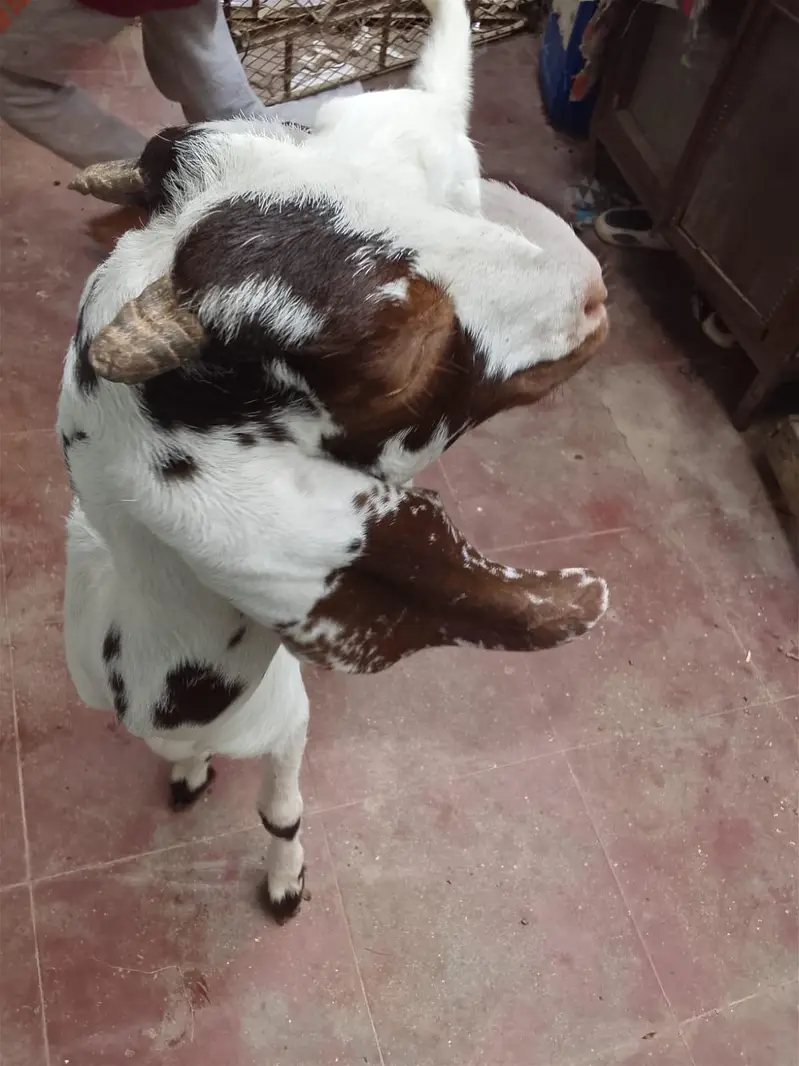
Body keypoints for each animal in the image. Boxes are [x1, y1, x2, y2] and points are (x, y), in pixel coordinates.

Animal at [58, 0, 610, 922]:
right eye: (396, 352)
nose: (592, 292)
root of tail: (421, 100)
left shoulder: (286, 723)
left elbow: (280, 809)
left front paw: (284, 881)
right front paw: (189, 774)